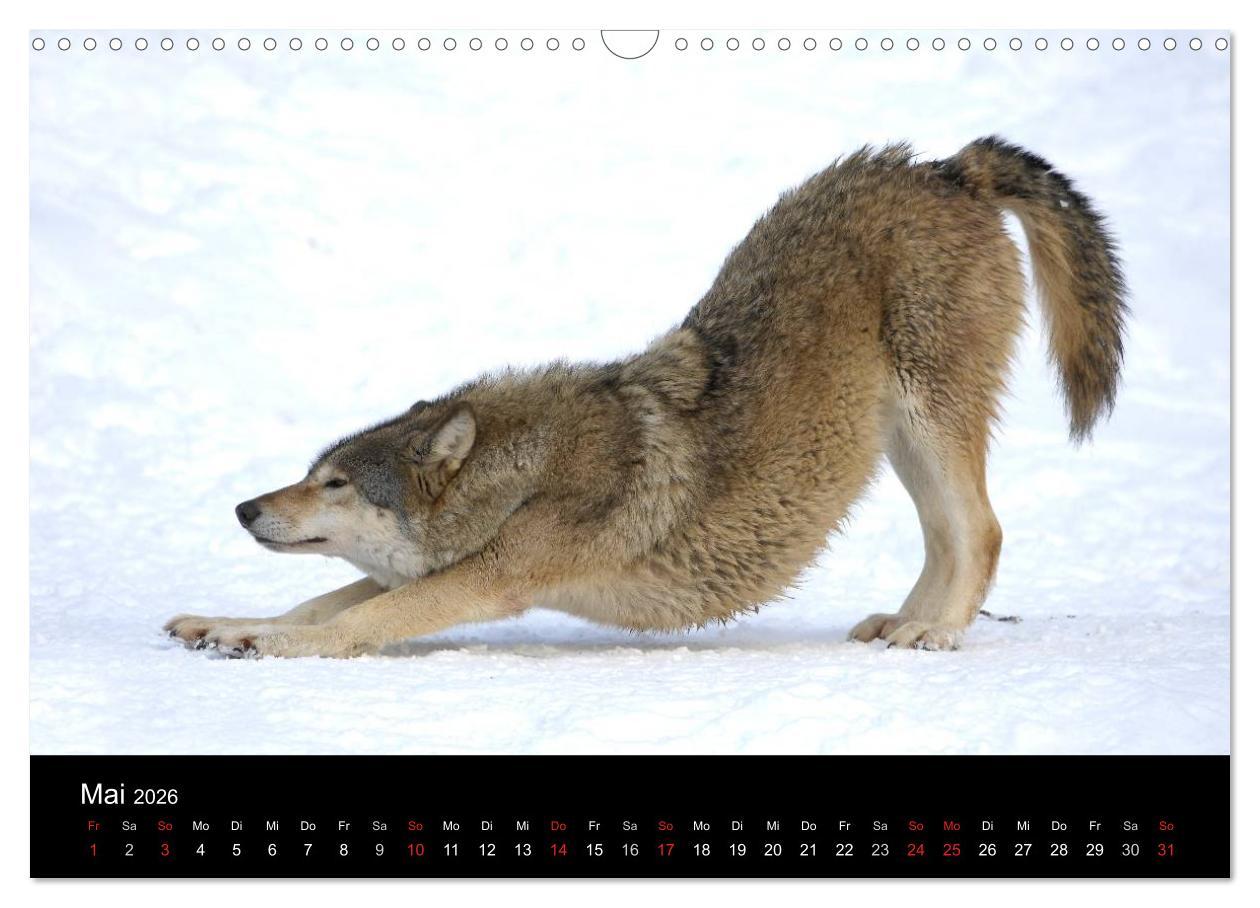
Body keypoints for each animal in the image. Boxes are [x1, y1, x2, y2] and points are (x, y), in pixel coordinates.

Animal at [165, 137, 1126, 658]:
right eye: (308, 473)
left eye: (334, 483)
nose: (245, 508)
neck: (523, 474)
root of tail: (947, 168)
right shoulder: (455, 570)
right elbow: (322, 600)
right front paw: (226, 624)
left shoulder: (492, 580)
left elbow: (354, 620)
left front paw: (269, 644)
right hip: (896, 442)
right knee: (949, 538)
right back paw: (904, 625)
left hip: (931, 422)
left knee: (982, 531)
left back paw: (934, 635)